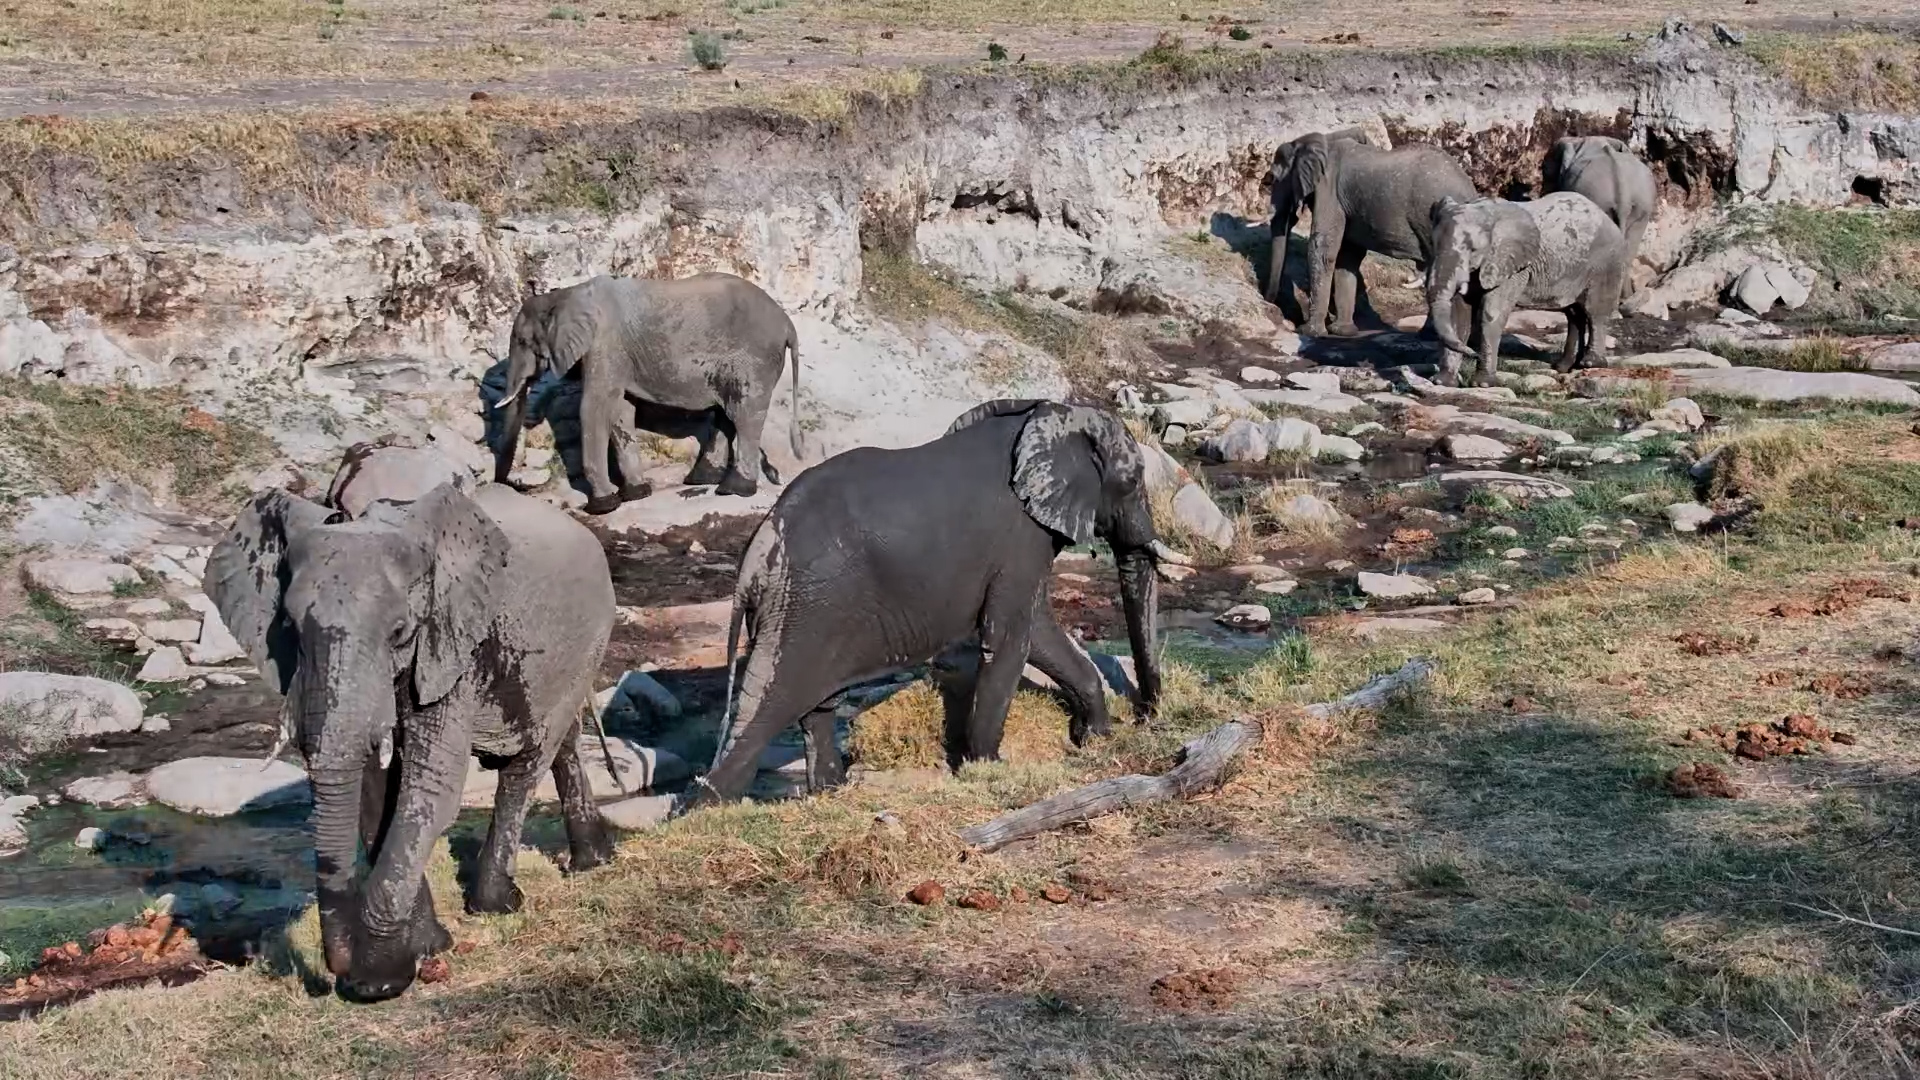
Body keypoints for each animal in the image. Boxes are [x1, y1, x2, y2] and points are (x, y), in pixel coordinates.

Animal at [204, 481, 617, 1002]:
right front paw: (428, 949)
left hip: (587, 643)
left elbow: (429, 789)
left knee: (525, 765)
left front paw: (378, 981)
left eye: (400, 633)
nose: (336, 972)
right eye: (291, 630)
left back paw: (501, 902)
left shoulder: (453, 647)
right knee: (559, 743)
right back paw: (593, 860)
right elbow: (375, 793)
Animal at [492, 272, 803, 515]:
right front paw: (637, 493)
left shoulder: (605, 345)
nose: (503, 484)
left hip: (755, 359)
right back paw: (701, 479)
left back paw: (734, 489)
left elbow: (594, 407)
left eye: (523, 341)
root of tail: (788, 323)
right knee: (725, 413)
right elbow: (620, 410)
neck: (566, 295)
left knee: (744, 415)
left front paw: (603, 506)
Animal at [681, 399, 1173, 809]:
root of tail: (756, 553)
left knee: (816, 704)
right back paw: (709, 810)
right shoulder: (1021, 537)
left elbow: (1035, 631)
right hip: (802, 604)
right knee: (772, 702)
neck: (1051, 414)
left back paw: (832, 792)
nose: (1145, 716)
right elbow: (1009, 637)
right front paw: (989, 769)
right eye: (1133, 481)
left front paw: (1094, 735)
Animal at [1266, 128, 1478, 336]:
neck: (1322, 138)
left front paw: (1309, 332)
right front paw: (1343, 332)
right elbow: (1348, 256)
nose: (1271, 303)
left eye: (1274, 179)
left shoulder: (1329, 190)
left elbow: (1323, 248)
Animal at [1425, 193, 1629, 386]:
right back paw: (1564, 367)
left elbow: (1491, 314)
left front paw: (1482, 384)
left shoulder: (1514, 267)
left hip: (1605, 263)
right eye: (1433, 244)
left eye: (1473, 249)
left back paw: (1591, 363)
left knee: (1595, 311)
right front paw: (1442, 382)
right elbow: (1458, 316)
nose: (1473, 354)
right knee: (1573, 313)